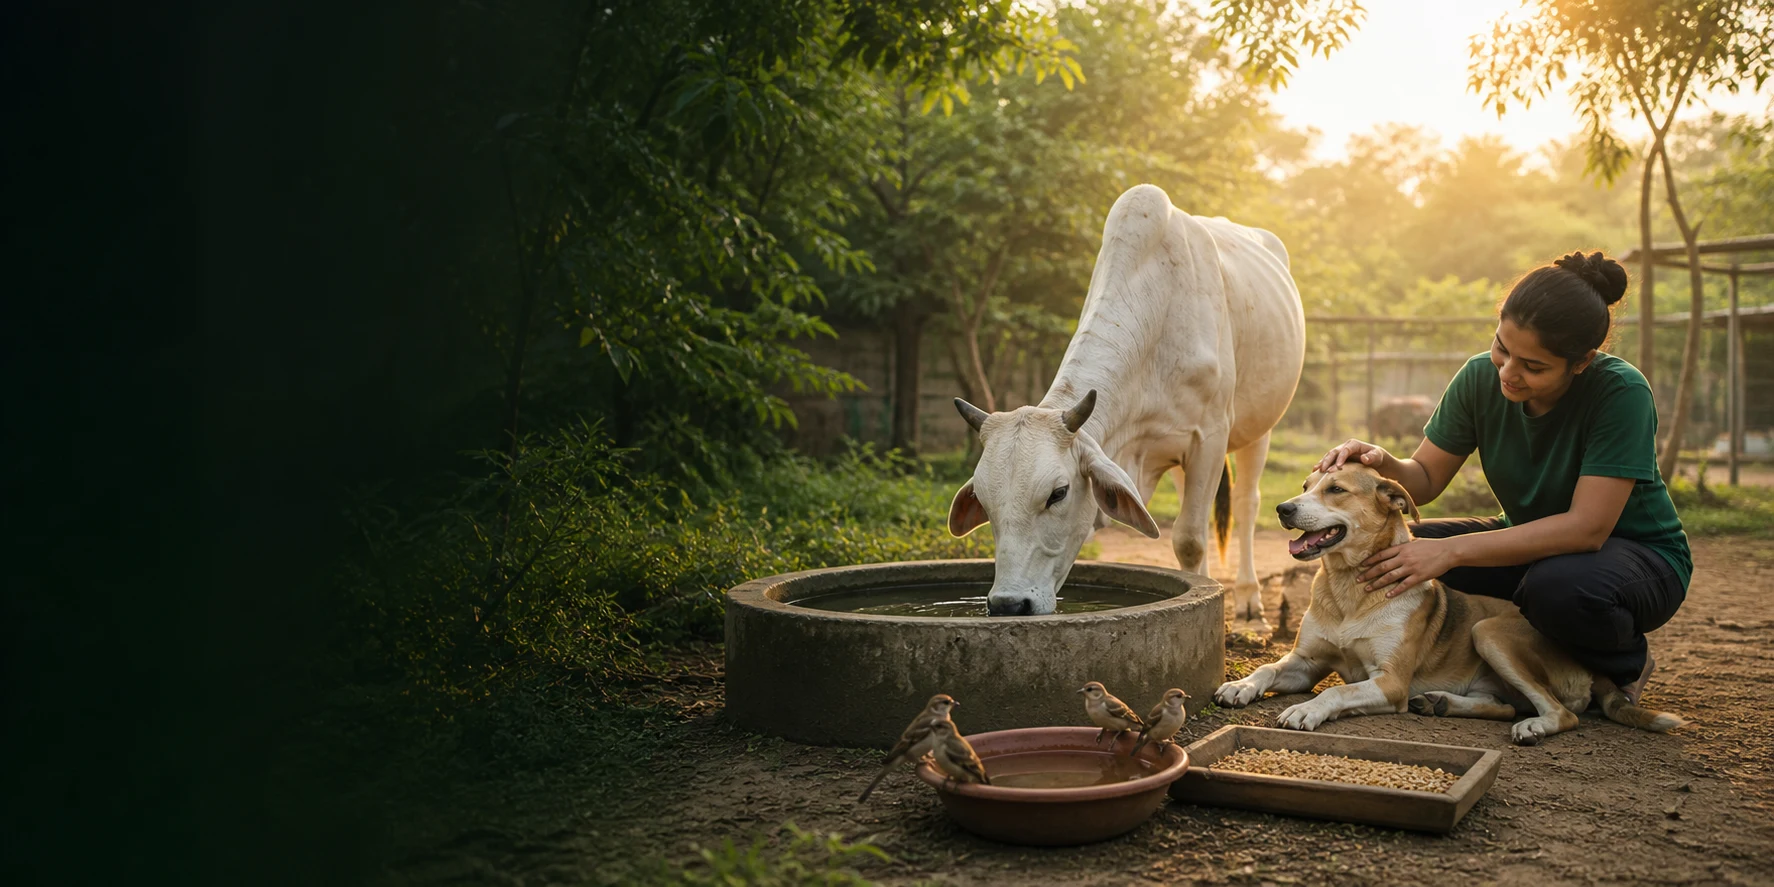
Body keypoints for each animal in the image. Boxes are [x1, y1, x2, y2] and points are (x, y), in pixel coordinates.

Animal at [948, 184, 1306, 632]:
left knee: (1245, 505)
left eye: (1058, 493)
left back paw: (1248, 602)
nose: (1009, 604)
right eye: (983, 497)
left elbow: (1189, 539)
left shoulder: (1209, 438)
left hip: (1259, 428)